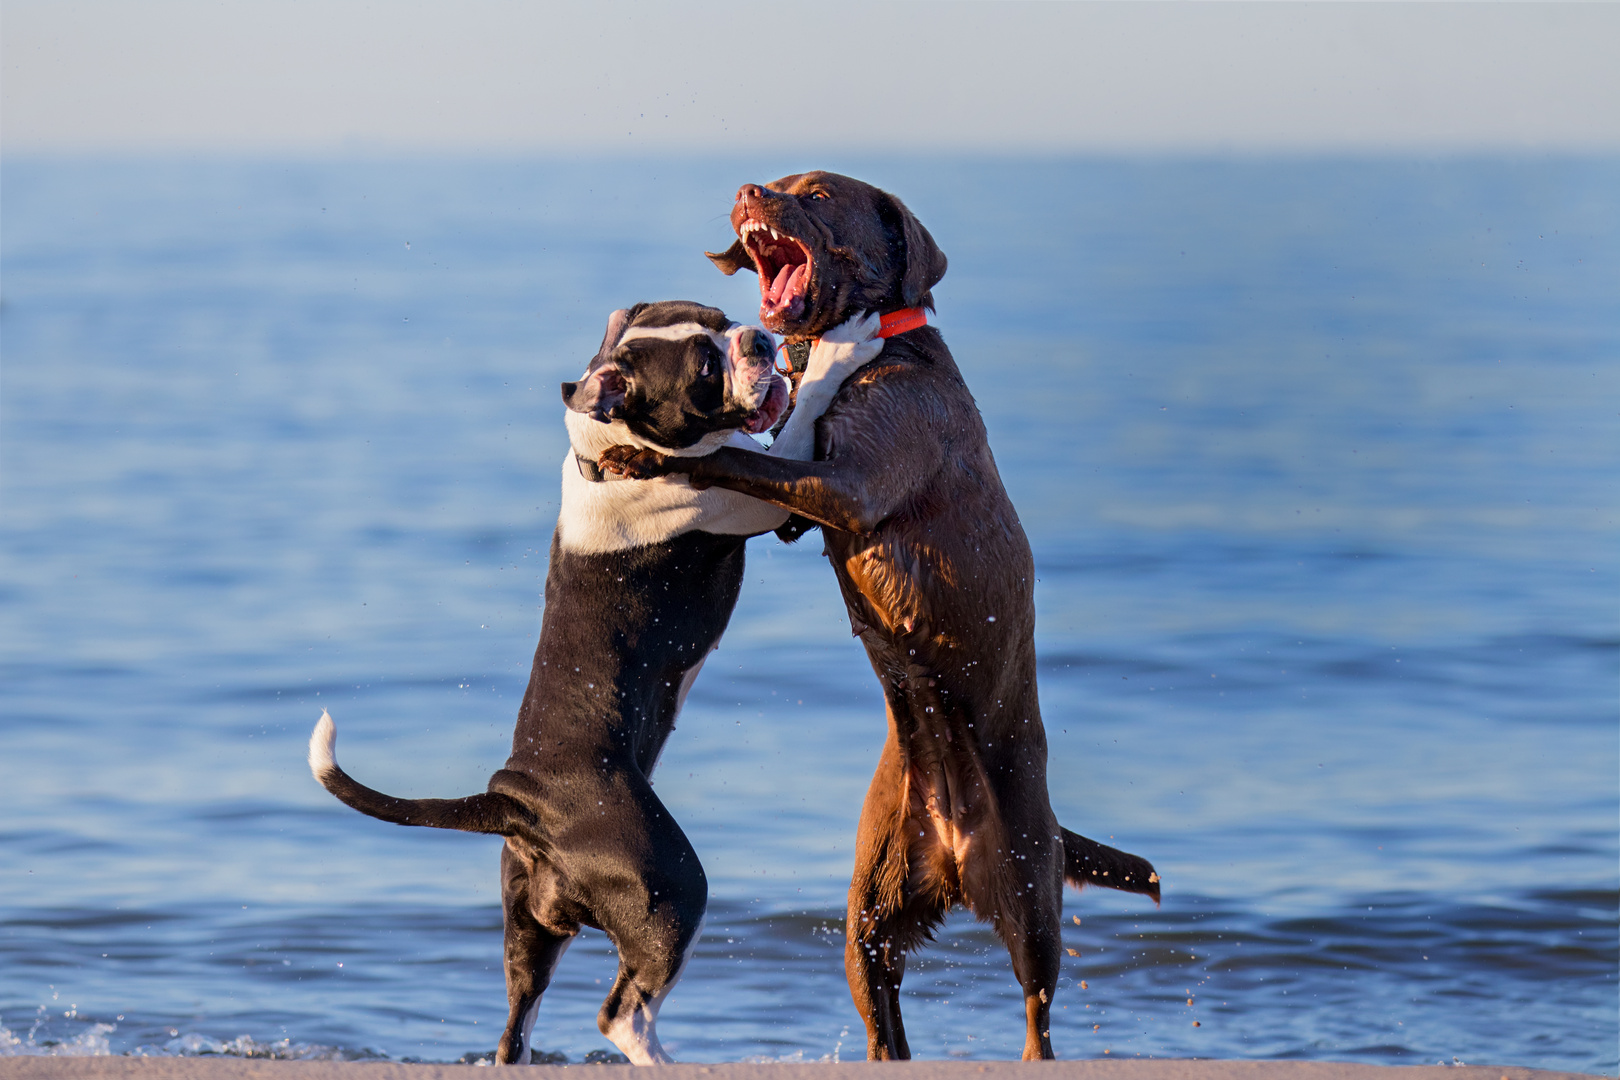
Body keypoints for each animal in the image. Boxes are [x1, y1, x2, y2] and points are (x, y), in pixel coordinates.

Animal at [309, 299, 881, 1068]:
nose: (758, 340)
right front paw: (842, 349)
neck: (606, 450)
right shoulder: (764, 496)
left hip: (531, 931)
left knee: (515, 1029)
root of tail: (515, 801)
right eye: (706, 371)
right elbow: (805, 410)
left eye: (717, 316)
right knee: (622, 1014)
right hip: (670, 892)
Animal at [602, 173, 1159, 1062]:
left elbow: (741, 458)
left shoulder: (853, 484)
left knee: (1037, 1004)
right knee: (885, 1018)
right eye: (777, 181)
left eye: (818, 192)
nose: (748, 189)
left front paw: (641, 453)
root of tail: (957, 858)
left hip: (1030, 884)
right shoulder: (808, 510)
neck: (880, 351)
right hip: (870, 907)